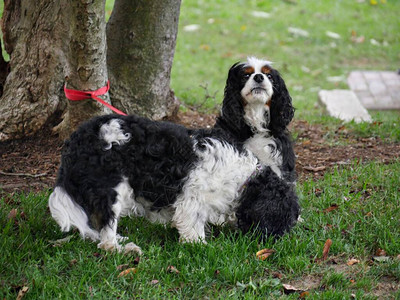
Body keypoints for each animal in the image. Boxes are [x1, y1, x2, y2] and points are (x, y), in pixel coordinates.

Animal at [48, 56, 300, 253]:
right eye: (283, 215)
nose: (286, 234)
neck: (246, 175)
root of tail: (79, 136)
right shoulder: (194, 194)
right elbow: (192, 223)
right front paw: (198, 245)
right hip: (111, 186)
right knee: (105, 229)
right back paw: (119, 248)